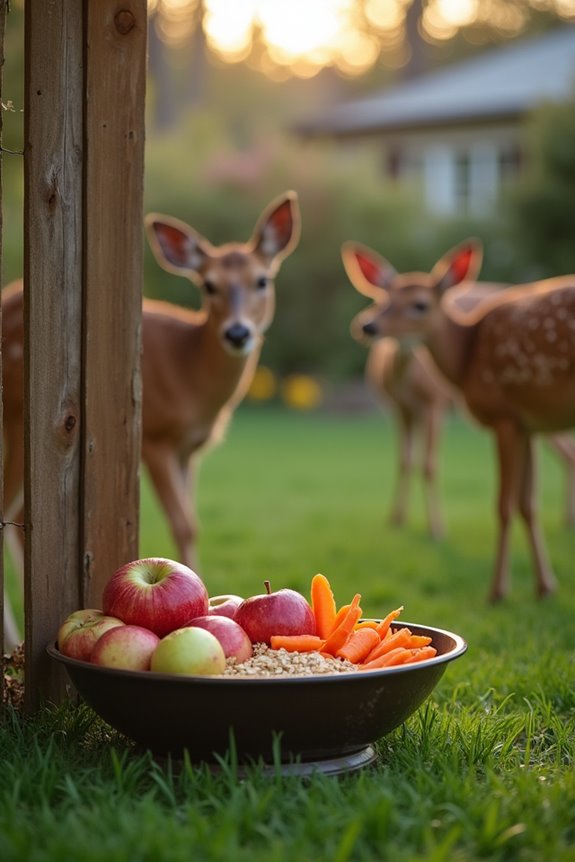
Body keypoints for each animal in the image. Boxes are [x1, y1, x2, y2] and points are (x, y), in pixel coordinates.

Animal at [1, 191, 300, 649]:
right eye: (208, 285)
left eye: (262, 280)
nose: (237, 333)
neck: (190, 376)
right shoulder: (157, 438)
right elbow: (184, 523)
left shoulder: (189, 451)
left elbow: (190, 524)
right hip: (20, 418)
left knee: (19, 519)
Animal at [341, 238, 575, 603]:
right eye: (382, 298)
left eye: (419, 304)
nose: (367, 325)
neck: (467, 354)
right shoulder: (525, 422)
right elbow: (527, 504)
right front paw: (545, 587)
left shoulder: (496, 415)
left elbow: (501, 504)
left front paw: (496, 591)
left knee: (567, 455)